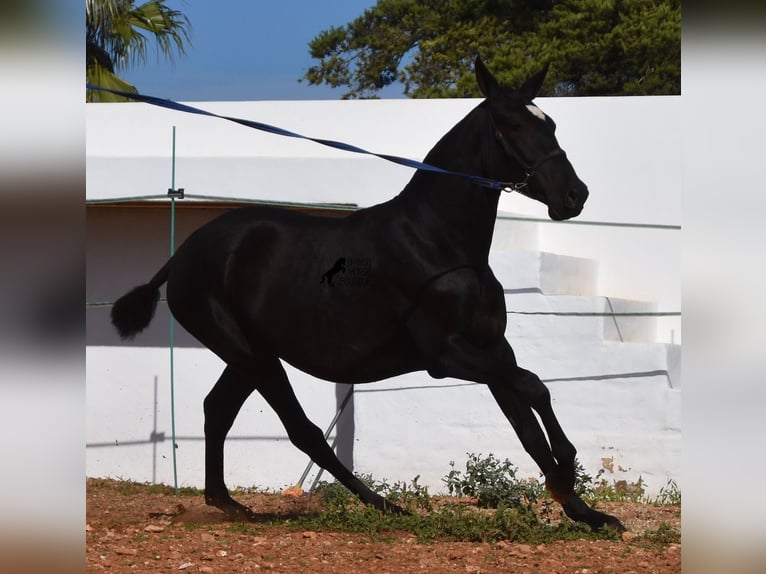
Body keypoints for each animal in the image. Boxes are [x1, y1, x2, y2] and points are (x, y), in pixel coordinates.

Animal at [114, 56, 628, 532]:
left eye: (551, 123)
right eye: (513, 125)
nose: (574, 196)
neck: (437, 242)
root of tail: (183, 255)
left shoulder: (493, 348)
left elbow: (526, 424)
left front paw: (588, 513)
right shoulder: (447, 355)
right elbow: (536, 387)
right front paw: (565, 476)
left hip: (250, 354)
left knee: (218, 411)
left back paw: (228, 503)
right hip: (251, 354)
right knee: (301, 430)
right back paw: (385, 505)